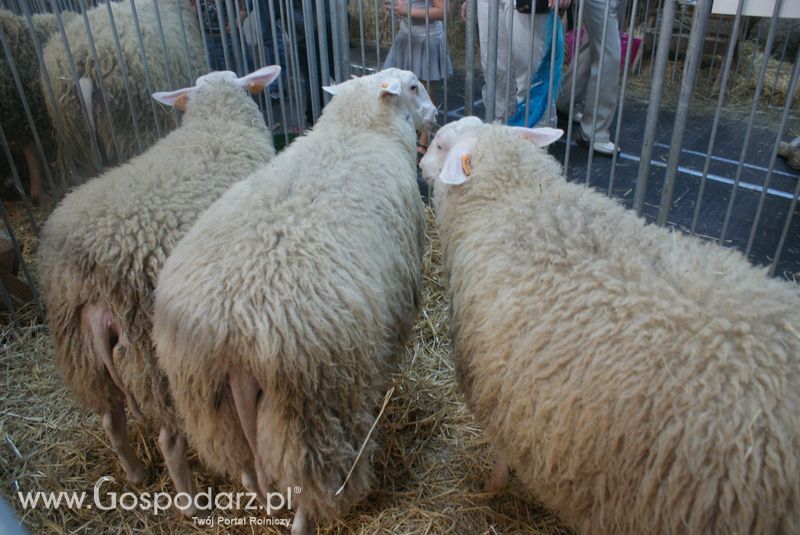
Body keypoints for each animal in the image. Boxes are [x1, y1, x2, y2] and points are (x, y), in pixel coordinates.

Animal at [37, 65, 282, 516]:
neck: (216, 118)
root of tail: (92, 276)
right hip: (154, 358)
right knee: (169, 438)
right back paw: (191, 504)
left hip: (81, 352)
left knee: (110, 419)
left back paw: (135, 474)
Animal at [150, 68, 438, 535]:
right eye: (414, 86)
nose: (436, 113)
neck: (357, 129)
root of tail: (234, 331)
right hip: (311, 410)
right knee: (310, 484)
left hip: (208, 403)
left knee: (244, 464)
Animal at [418, 118, 800, 535]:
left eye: (440, 145)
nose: (420, 163)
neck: (518, 199)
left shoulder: (500, 385)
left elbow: (504, 451)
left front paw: (492, 487)